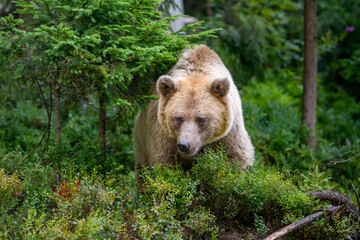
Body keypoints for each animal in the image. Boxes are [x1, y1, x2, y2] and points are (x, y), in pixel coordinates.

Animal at [134, 44, 255, 176]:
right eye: (178, 118)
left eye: (201, 119)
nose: (184, 145)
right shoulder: (163, 134)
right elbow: (166, 163)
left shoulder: (229, 132)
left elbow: (235, 157)